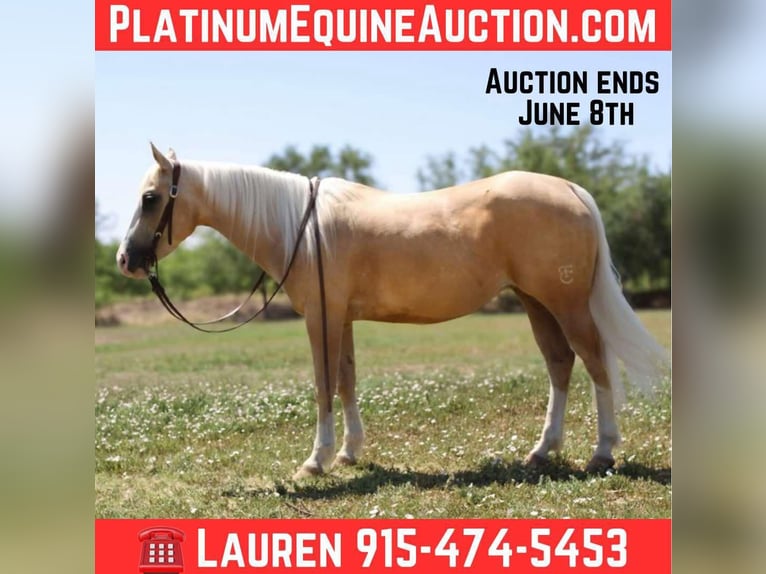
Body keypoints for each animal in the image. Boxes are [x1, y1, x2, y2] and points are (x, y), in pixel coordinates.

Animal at [117, 143, 669, 479]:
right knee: (560, 364)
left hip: (565, 303)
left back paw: (602, 451)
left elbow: (322, 384)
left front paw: (315, 461)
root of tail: (569, 188)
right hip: (536, 302)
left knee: (594, 362)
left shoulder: (320, 317)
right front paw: (348, 452)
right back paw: (541, 451)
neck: (300, 225)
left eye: (150, 198)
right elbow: (346, 381)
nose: (125, 260)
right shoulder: (340, 317)